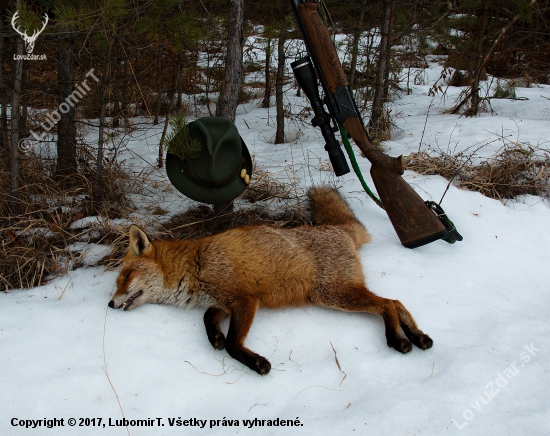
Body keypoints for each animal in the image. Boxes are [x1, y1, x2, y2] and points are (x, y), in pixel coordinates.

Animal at [109, 187, 436, 374]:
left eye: (125, 276)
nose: (110, 304)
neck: (195, 265)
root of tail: (337, 229)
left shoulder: (244, 299)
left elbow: (233, 343)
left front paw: (256, 363)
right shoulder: (223, 301)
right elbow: (207, 317)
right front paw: (214, 337)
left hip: (333, 294)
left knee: (386, 305)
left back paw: (397, 339)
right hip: (341, 291)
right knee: (395, 301)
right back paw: (418, 336)